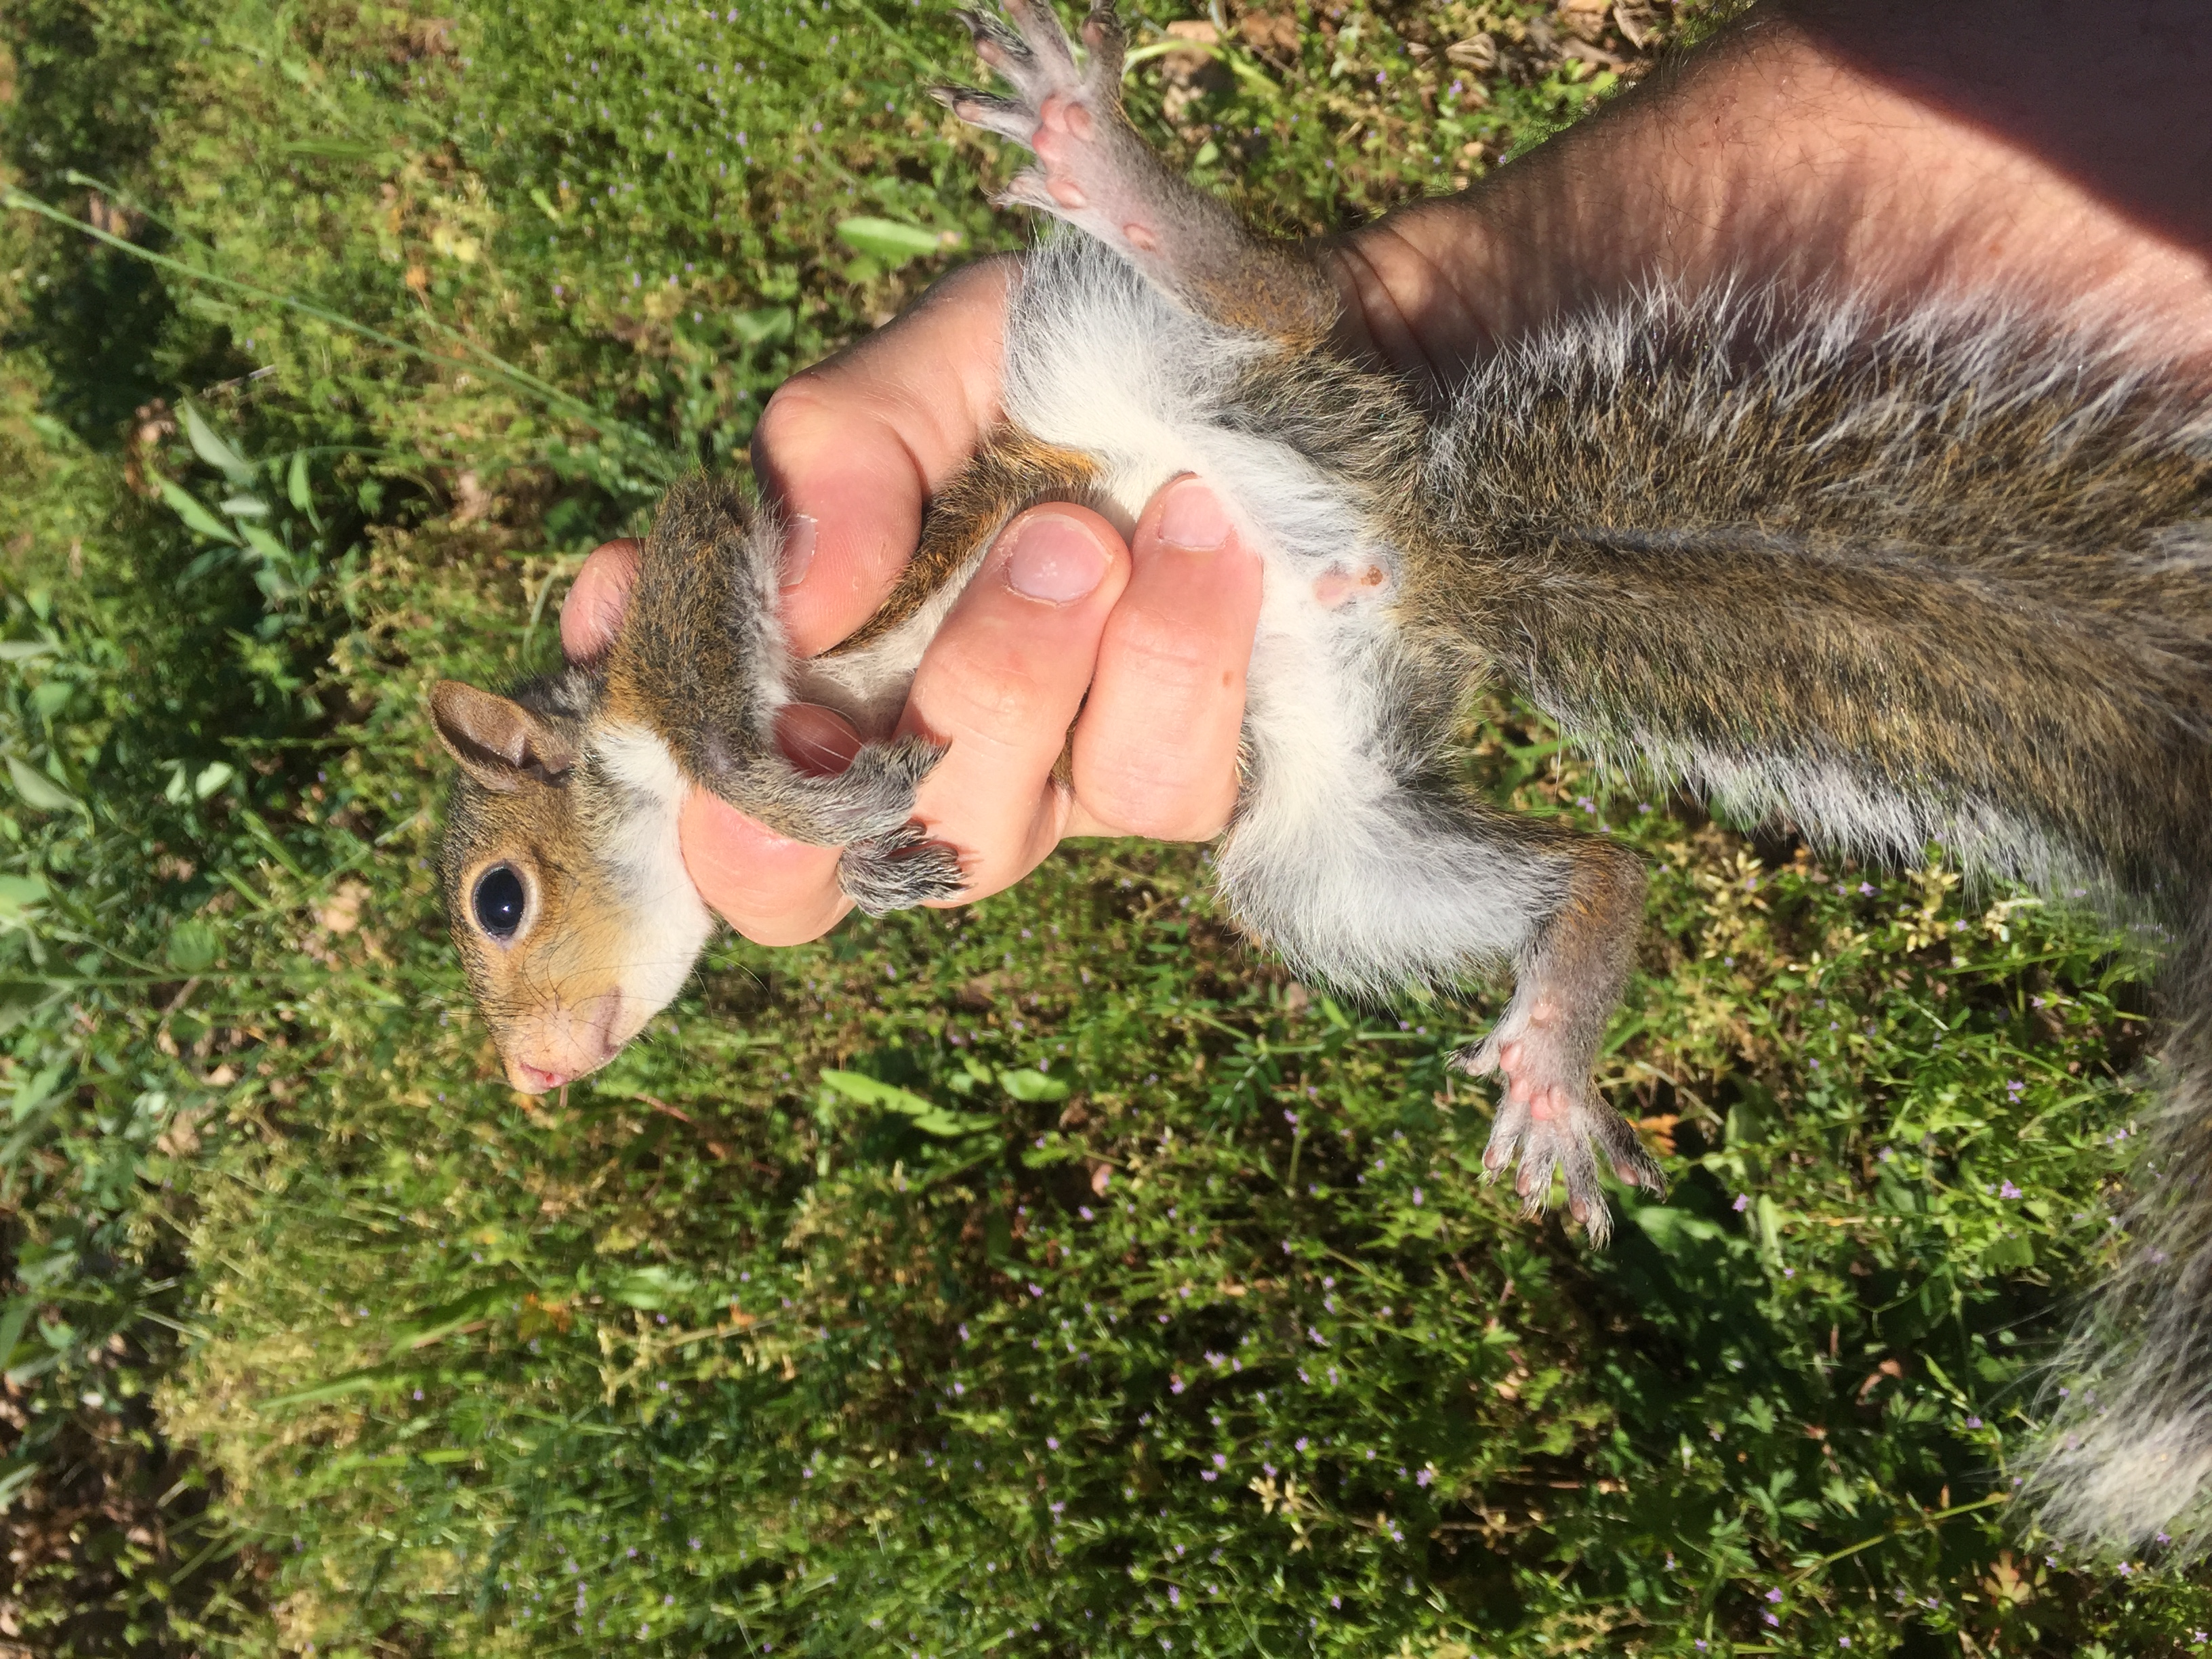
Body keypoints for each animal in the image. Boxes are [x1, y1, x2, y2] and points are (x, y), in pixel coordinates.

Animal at [430, 1, 2212, 1554]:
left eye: (495, 902)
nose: (530, 1081)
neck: (607, 739)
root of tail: (1427, 558)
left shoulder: (690, 591)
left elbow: (721, 693)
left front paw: (794, 799)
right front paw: (875, 862)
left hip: (1121, 372)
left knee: (1273, 302)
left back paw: (1102, 161)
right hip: (1321, 844)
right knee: (1581, 866)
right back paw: (1561, 1031)